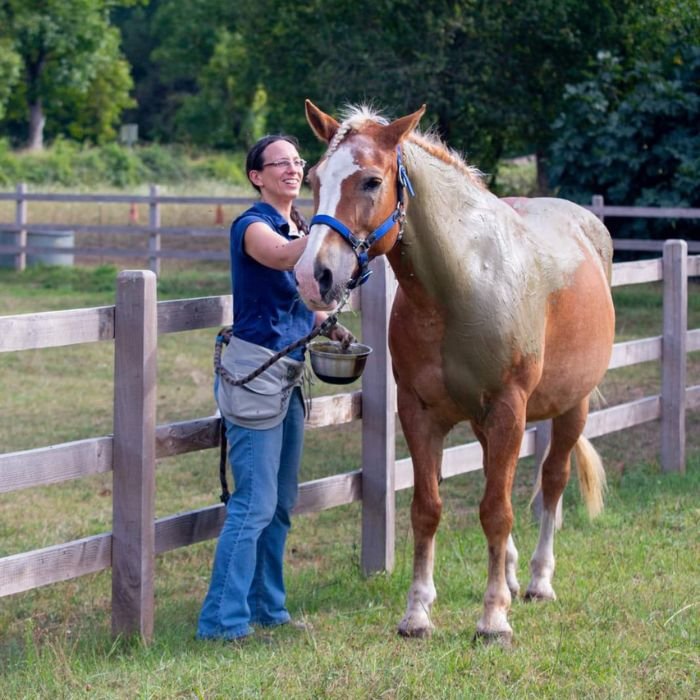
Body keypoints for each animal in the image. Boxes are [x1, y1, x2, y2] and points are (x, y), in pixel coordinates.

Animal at [294, 100, 612, 644]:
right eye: (314, 178)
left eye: (372, 181)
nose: (315, 277)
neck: (461, 286)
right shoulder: (419, 413)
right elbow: (428, 508)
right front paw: (418, 611)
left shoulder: (507, 409)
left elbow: (497, 510)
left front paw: (493, 618)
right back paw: (510, 573)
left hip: (572, 407)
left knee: (552, 481)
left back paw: (537, 580)